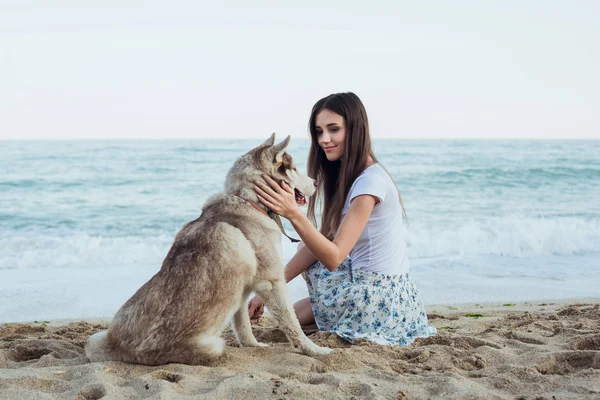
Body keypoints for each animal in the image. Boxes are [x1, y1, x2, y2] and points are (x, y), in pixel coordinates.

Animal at [85, 134, 332, 366]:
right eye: (295, 169)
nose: (316, 182)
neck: (248, 200)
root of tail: (131, 352)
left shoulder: (242, 289)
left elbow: (242, 323)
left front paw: (252, 345)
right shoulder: (271, 282)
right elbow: (292, 324)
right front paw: (314, 350)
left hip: (97, 337)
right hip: (213, 345)